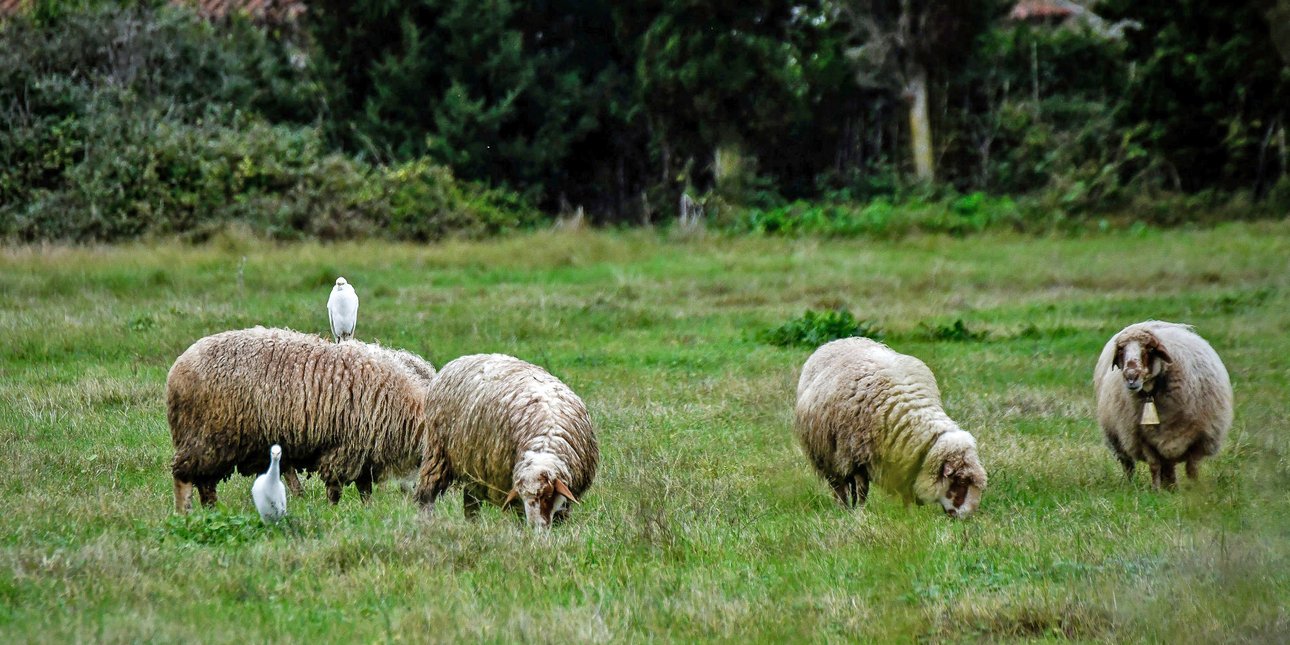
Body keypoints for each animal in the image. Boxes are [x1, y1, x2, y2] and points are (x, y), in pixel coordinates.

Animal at [166, 327, 433, 513]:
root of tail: (177, 369)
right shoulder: (346, 448)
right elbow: (336, 488)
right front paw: (333, 513)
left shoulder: (362, 451)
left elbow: (364, 489)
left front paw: (367, 512)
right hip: (205, 435)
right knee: (184, 475)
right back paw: (184, 513)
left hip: (211, 442)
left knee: (205, 482)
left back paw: (211, 511)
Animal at [415, 353, 601, 528]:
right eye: (524, 497)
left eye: (547, 495)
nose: (536, 527)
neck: (545, 441)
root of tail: (459, 360)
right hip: (437, 453)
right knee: (427, 495)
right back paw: (426, 521)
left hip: (473, 465)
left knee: (470, 500)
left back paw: (472, 524)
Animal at [789, 337, 990, 518]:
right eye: (960, 481)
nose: (968, 517)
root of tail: (839, 340)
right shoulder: (858, 457)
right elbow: (862, 490)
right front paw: (860, 514)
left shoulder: (905, 460)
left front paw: (909, 515)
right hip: (827, 455)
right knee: (839, 486)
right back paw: (844, 508)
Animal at [1093, 319, 1233, 485]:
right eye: (1121, 350)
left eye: (1150, 349)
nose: (1131, 377)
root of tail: (1147, 323)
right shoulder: (1143, 439)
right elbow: (1154, 466)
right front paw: (1156, 489)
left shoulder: (1200, 438)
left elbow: (1192, 468)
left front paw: (1195, 488)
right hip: (1118, 437)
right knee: (1129, 464)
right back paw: (1131, 484)